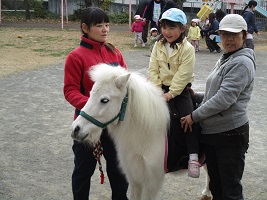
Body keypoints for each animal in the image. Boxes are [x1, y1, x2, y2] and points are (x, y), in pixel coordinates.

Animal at [71, 63, 214, 199]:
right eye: (90, 94)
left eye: (104, 100)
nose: (76, 129)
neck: (147, 133)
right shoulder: (134, 177)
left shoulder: (152, 181)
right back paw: (206, 193)